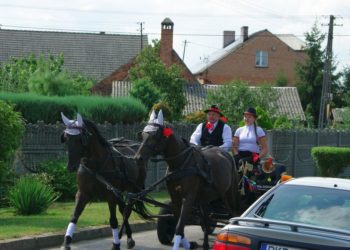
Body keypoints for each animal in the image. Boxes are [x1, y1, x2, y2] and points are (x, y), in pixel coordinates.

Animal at [60, 114, 148, 250]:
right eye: (66, 138)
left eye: (80, 138)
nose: (71, 166)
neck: (95, 166)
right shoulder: (82, 193)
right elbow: (74, 216)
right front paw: (67, 242)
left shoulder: (110, 195)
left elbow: (113, 221)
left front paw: (116, 244)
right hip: (120, 191)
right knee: (123, 209)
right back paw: (127, 237)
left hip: (134, 189)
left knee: (127, 211)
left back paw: (124, 237)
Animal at [135, 111, 241, 250]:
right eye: (142, 135)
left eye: (155, 135)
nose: (138, 158)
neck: (181, 163)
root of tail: (227, 155)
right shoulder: (175, 198)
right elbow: (179, 225)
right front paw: (189, 244)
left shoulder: (188, 197)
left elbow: (179, 227)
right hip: (205, 198)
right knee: (206, 219)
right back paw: (205, 244)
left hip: (228, 194)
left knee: (233, 214)